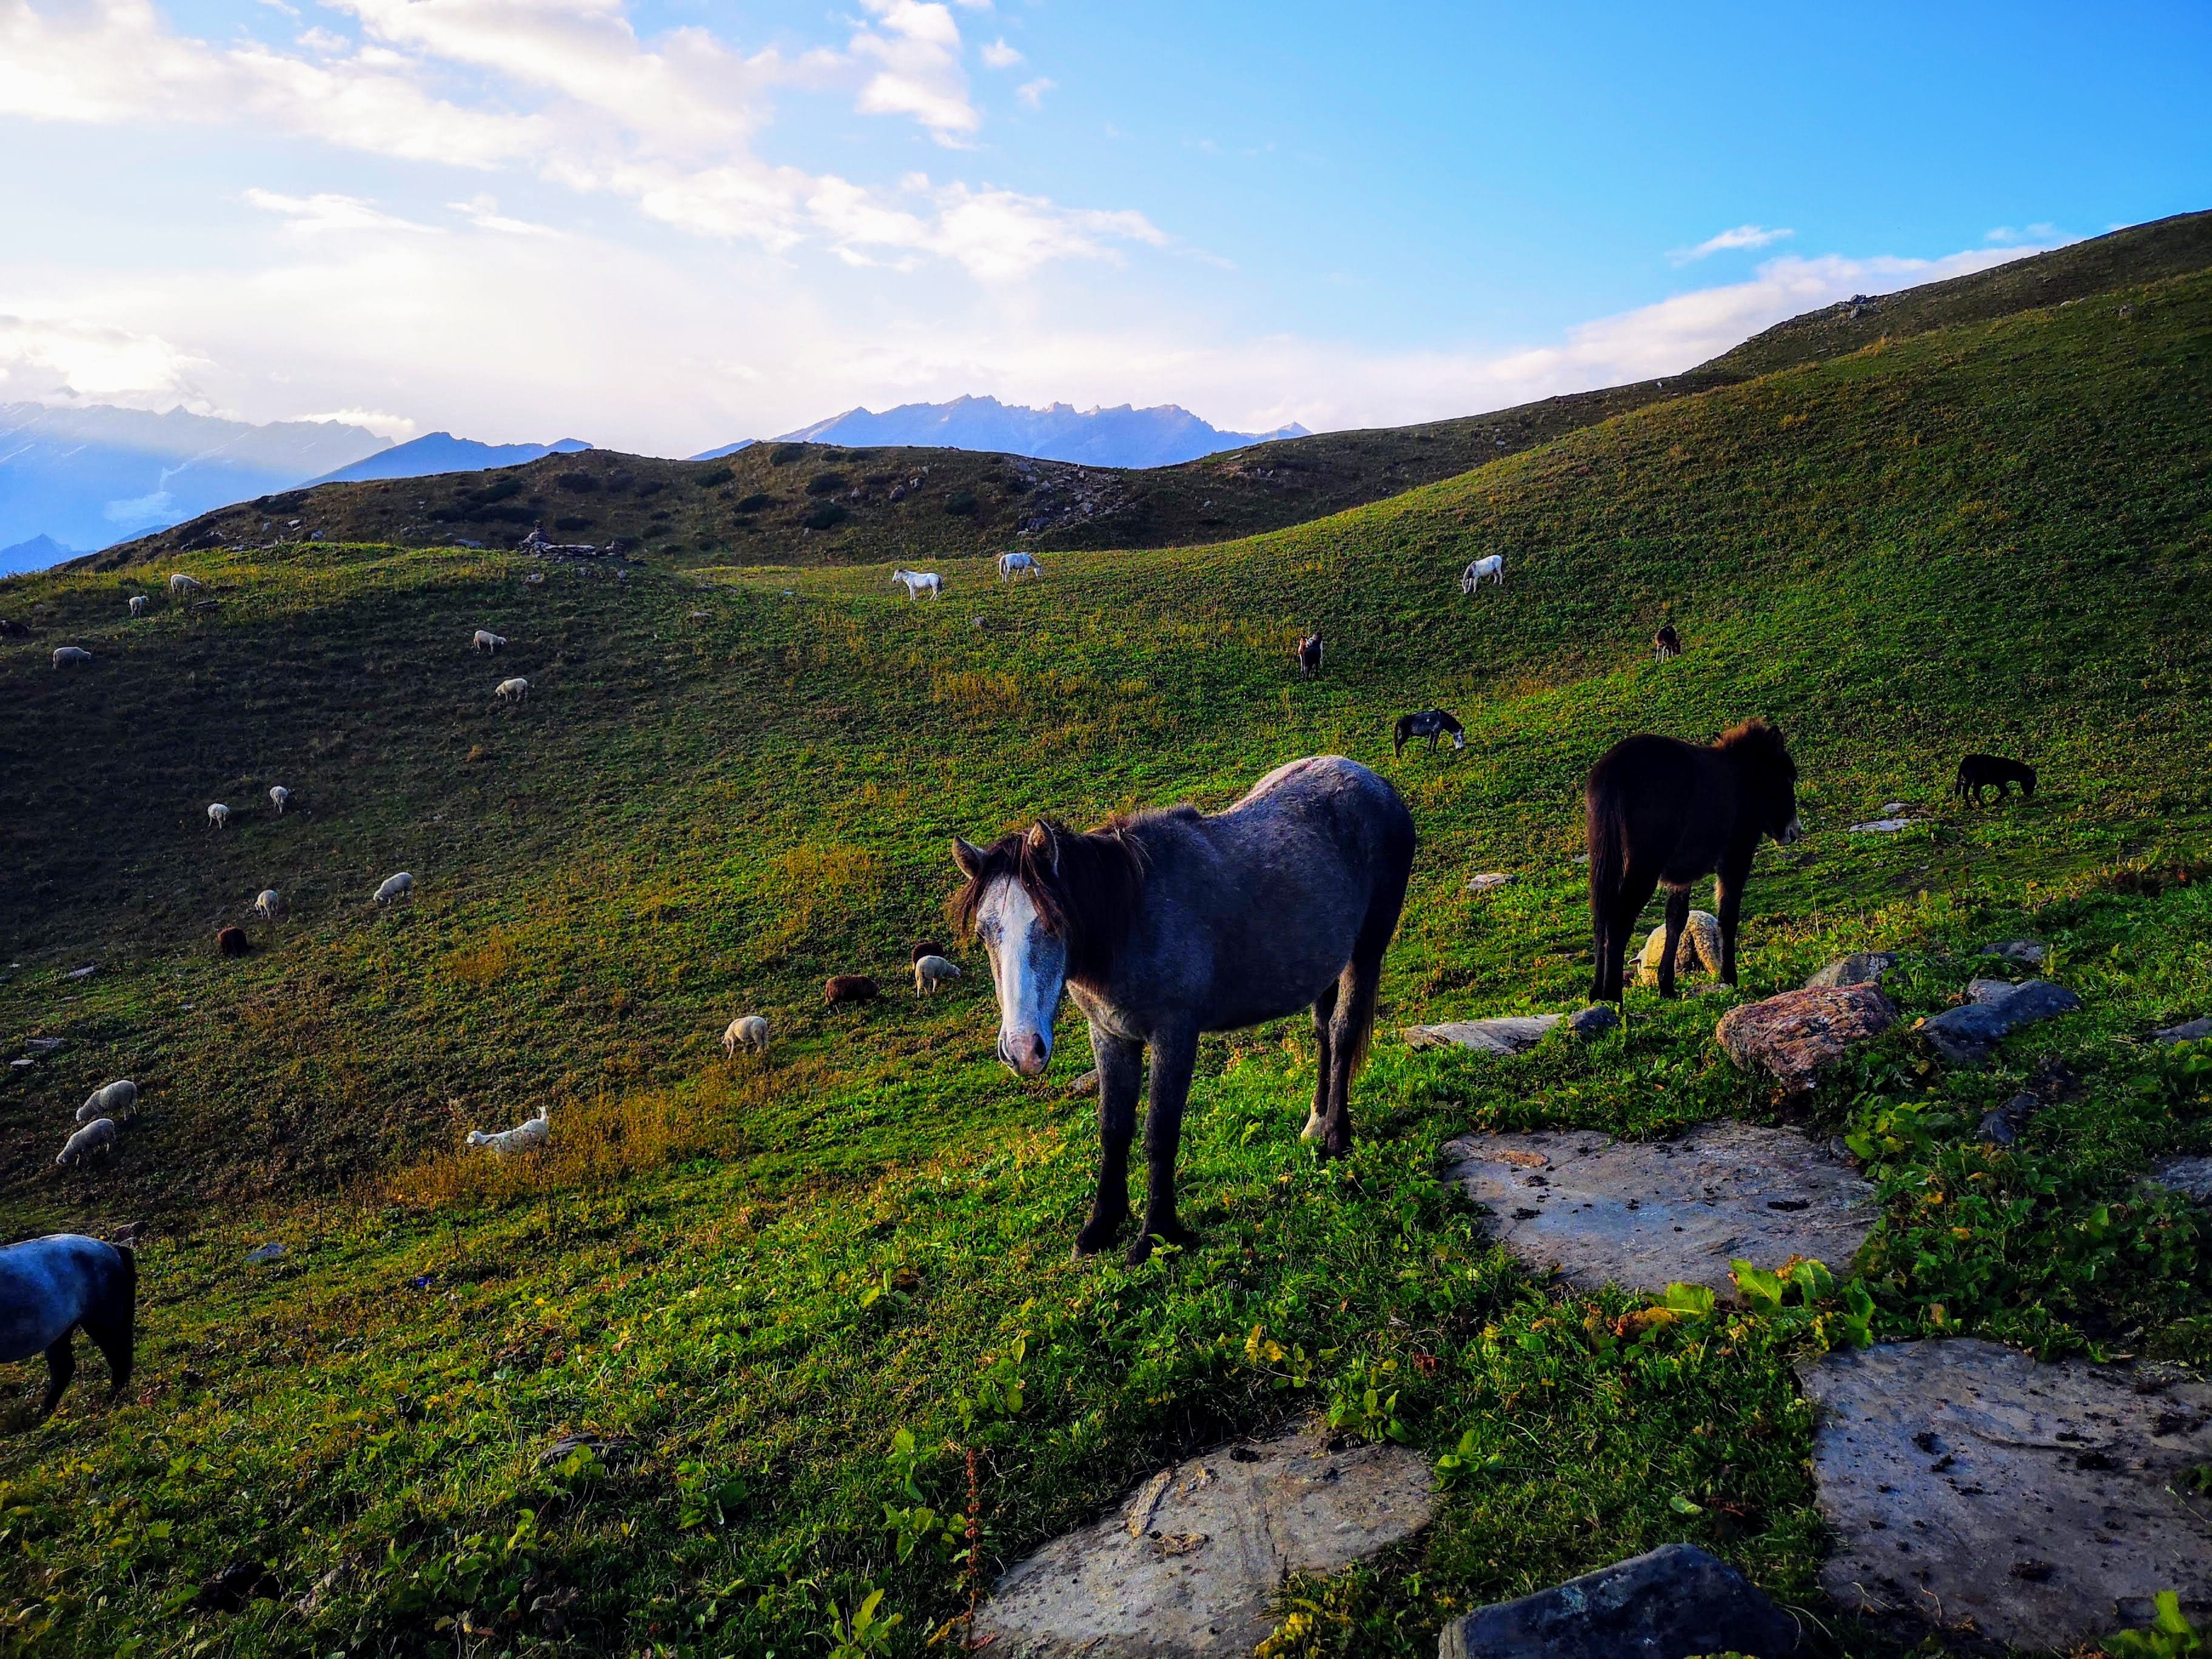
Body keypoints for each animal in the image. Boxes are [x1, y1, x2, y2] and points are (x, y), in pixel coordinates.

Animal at [0, 1238, 135, 1415]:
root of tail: (113, 1248)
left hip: (101, 1323)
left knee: (117, 1358)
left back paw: (113, 1400)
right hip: (60, 1332)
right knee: (63, 1369)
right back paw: (44, 1414)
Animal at [942, 760, 1407, 1265]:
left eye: (1052, 922)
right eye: (986, 932)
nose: (1023, 1050)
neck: (1130, 918)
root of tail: (1373, 782)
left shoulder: (1175, 1036)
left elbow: (1159, 1132)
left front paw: (1156, 1235)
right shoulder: (1110, 1036)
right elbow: (1113, 1129)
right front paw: (1101, 1226)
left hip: (1367, 949)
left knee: (1342, 1034)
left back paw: (1338, 1138)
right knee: (1323, 1032)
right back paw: (1316, 1123)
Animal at [1583, 716, 1805, 999]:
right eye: (1788, 777)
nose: (1794, 831)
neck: (1743, 780)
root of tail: (1615, 766)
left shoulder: (1681, 877)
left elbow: (1676, 921)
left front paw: (1667, 986)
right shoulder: (1736, 858)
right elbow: (1728, 916)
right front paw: (1730, 978)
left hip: (1606, 858)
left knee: (1601, 914)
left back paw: (1597, 992)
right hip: (1644, 866)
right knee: (1619, 917)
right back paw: (1612, 994)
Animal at [1955, 756, 2035, 809]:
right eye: (2031, 783)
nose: (2030, 795)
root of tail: (1964, 762)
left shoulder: (1999, 783)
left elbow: (2005, 792)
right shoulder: (2000, 782)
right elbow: (2006, 792)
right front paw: (1993, 802)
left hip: (1971, 781)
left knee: (1970, 792)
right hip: (1972, 780)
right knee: (1969, 792)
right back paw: (1976, 807)